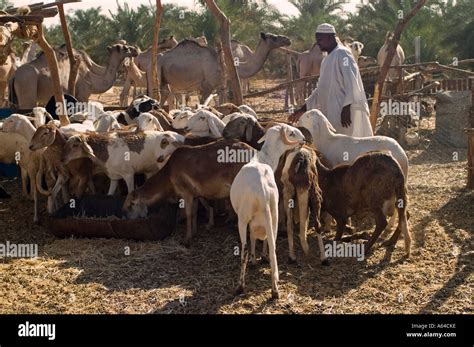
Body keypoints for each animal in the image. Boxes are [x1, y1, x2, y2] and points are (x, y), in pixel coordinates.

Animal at [9, 43, 137, 109]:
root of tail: (14, 76)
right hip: (27, 87)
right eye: (126, 48)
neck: (91, 78)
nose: (136, 50)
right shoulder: (82, 96)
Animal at [154, 32, 290, 106]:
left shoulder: (220, 86)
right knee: (162, 95)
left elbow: (221, 103)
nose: (287, 39)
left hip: (168, 81)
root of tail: (157, 57)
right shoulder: (207, 86)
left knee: (167, 95)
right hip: (159, 73)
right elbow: (203, 104)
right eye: (273, 37)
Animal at [231, 124, 306, 300]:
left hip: (243, 218)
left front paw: (254, 260)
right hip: (273, 214)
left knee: (244, 249)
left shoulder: (249, 220)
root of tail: (262, 190)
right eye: (291, 133)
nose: (304, 139)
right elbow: (260, 238)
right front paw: (260, 258)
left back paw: (240, 286)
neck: (264, 159)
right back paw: (275, 289)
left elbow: (252, 239)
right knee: (273, 247)